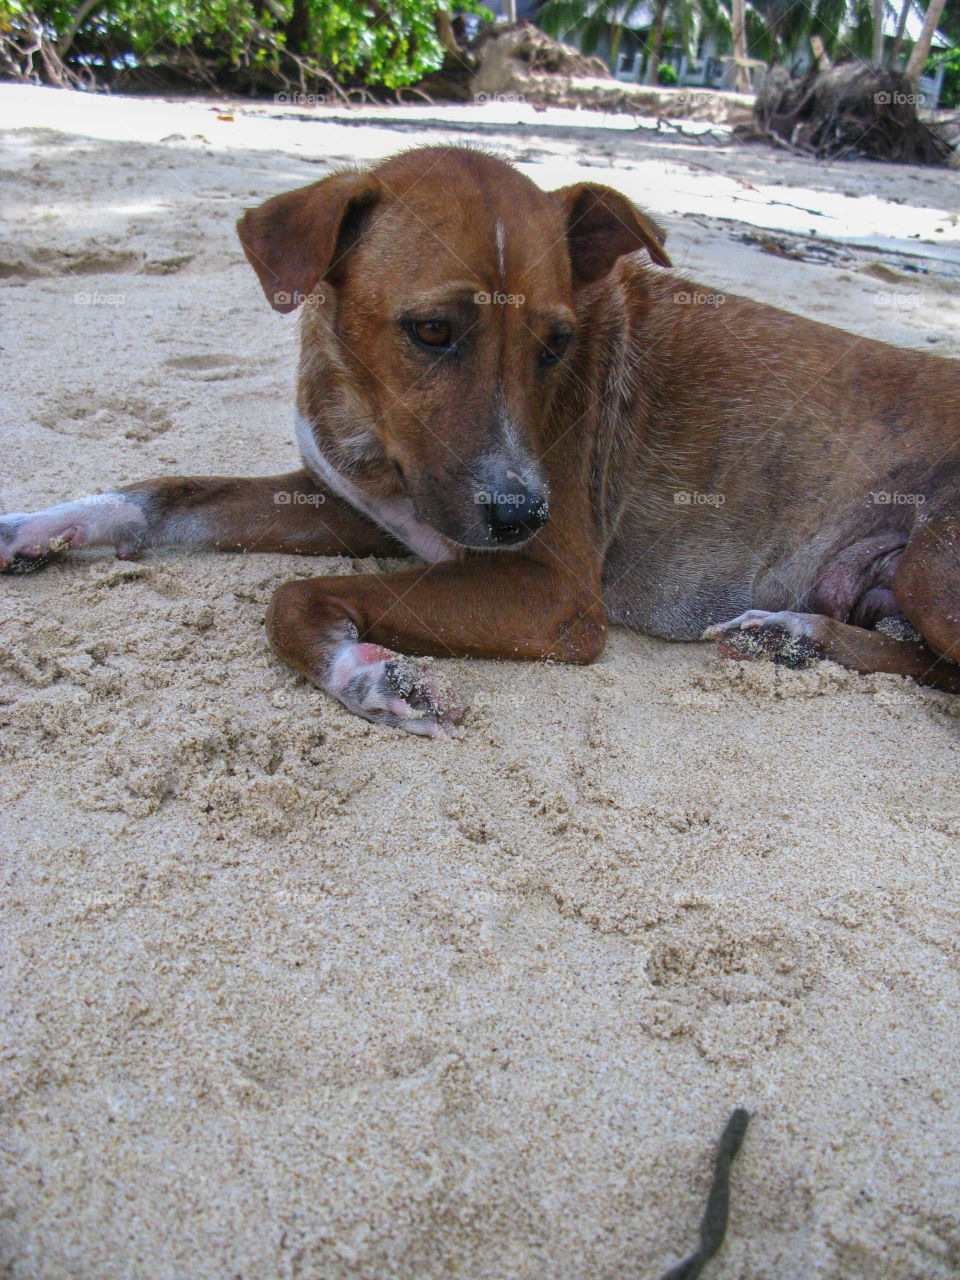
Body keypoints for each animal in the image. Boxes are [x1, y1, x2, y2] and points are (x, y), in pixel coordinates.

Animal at [1, 145, 960, 737]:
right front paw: (42, 527)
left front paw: (370, 678)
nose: (519, 514)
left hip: (929, 567)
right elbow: (166, 493)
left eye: (557, 343)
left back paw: (796, 636)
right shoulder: (354, 506)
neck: (368, 423)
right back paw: (797, 639)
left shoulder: (553, 592)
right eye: (431, 331)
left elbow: (289, 595)